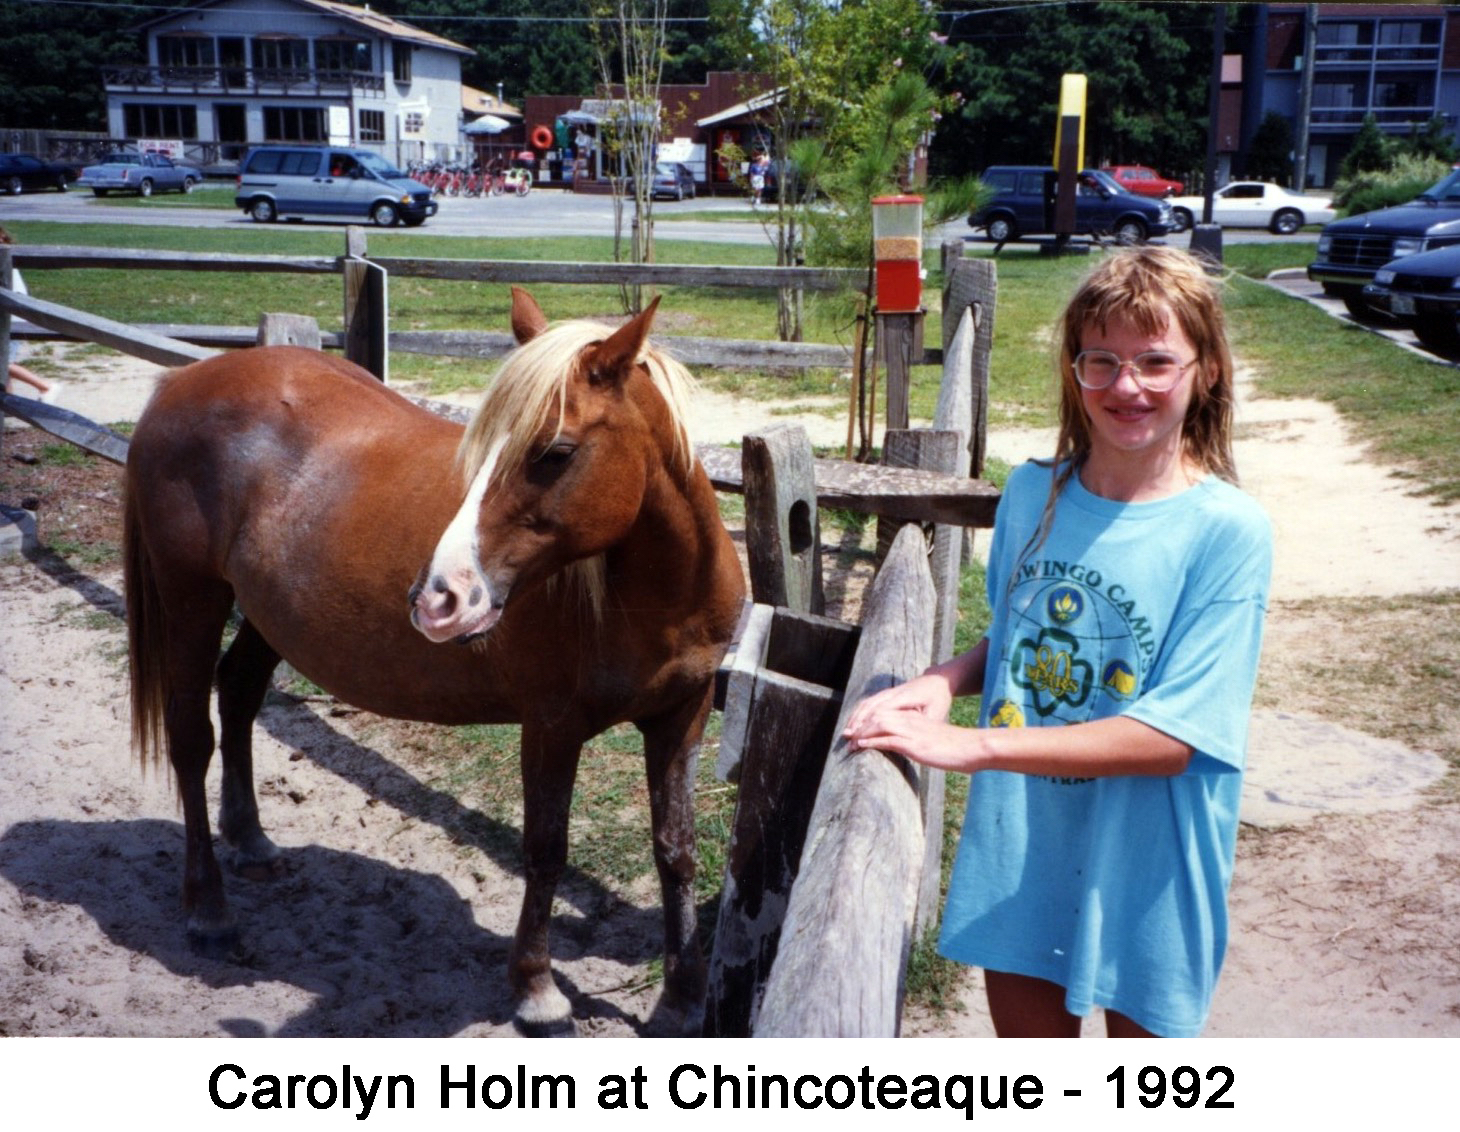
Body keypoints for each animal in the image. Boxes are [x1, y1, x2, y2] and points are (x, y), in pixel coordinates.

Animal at [121, 286, 747, 1034]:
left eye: (555, 452)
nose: (438, 597)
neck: (659, 599)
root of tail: (180, 382)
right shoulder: (552, 727)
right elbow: (545, 851)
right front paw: (536, 991)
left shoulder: (681, 717)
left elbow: (674, 851)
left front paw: (681, 998)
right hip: (192, 598)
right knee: (191, 740)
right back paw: (210, 912)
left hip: (266, 614)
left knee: (238, 693)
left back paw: (252, 843)